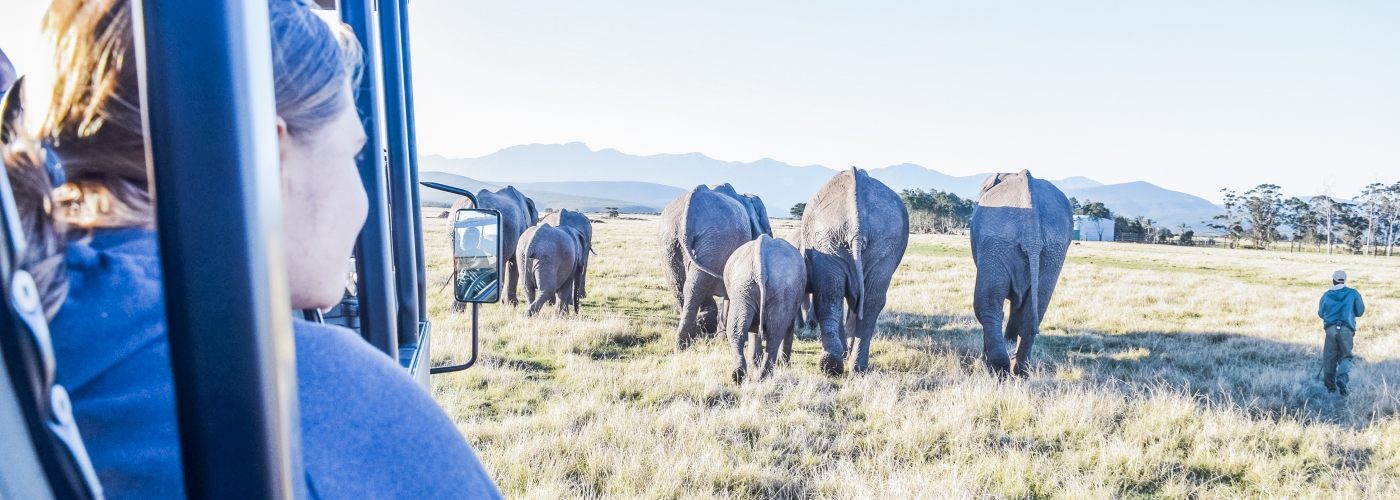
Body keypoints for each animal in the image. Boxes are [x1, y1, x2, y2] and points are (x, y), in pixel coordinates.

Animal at [655, 183, 767, 350]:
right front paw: (721, 335)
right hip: (716, 238)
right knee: (692, 285)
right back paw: (690, 339)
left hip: (671, 239)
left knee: (683, 285)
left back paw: (686, 342)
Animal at [722, 235, 812, 380]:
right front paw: (783, 366)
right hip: (770, 288)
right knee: (775, 333)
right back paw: (763, 377)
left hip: (745, 286)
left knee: (739, 329)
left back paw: (741, 376)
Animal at [806, 167, 912, 375]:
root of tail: (857, 228)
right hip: (857, 240)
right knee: (865, 299)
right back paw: (850, 367)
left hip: (837, 239)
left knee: (835, 296)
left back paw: (839, 365)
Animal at [974, 169, 1069, 375]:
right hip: (1053, 251)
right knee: (1035, 311)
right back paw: (1020, 371)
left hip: (996, 242)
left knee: (987, 308)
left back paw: (997, 367)